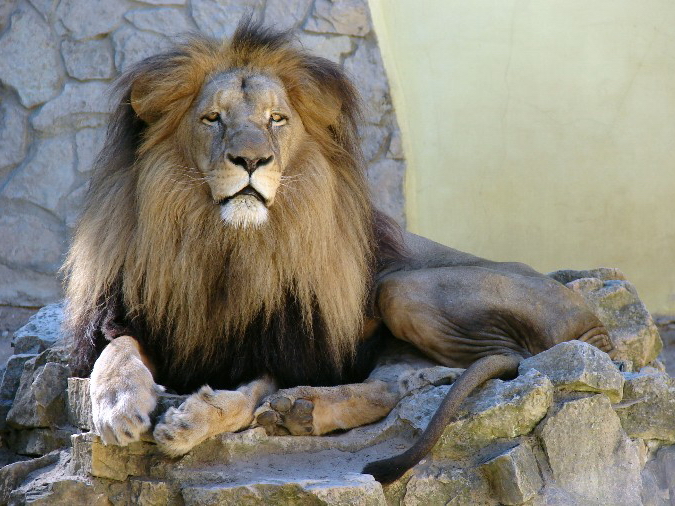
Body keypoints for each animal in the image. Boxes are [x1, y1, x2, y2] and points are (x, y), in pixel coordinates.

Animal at [64, 21, 614, 484]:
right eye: (212, 118)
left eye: (277, 119)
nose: (251, 160)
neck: (222, 246)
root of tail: (594, 324)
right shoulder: (135, 313)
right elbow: (116, 349)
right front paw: (119, 405)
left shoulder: (285, 344)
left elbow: (246, 396)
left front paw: (191, 421)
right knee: (403, 378)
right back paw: (304, 412)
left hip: (402, 287)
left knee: (468, 368)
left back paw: (303, 408)